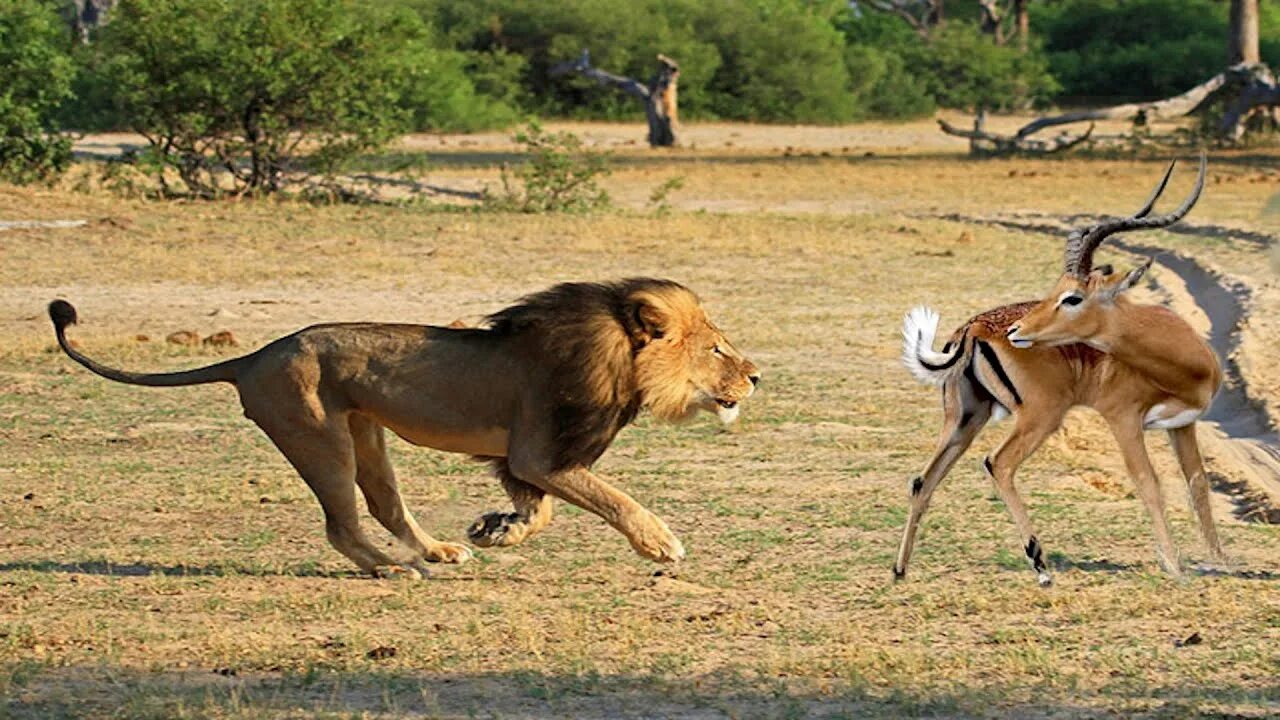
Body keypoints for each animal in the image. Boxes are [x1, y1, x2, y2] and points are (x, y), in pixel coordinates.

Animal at [47, 278, 757, 573]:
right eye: (717, 348)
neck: (618, 356)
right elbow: (611, 497)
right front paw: (661, 543)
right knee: (342, 525)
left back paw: (439, 551)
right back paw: (392, 570)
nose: (756, 377)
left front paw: (496, 530)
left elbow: (546, 510)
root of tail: (253, 355)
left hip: (366, 435)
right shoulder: (539, 454)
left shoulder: (527, 460)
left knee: (386, 505)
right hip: (319, 438)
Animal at [896, 156, 1223, 584]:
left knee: (923, 480)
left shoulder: (1184, 423)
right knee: (998, 463)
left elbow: (1198, 484)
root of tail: (973, 327)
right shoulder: (1124, 419)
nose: (1019, 331)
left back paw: (900, 570)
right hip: (1040, 415)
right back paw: (1041, 566)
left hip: (966, 417)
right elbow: (1148, 482)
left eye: (1072, 296)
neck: (1181, 362)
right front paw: (1175, 566)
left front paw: (1222, 560)